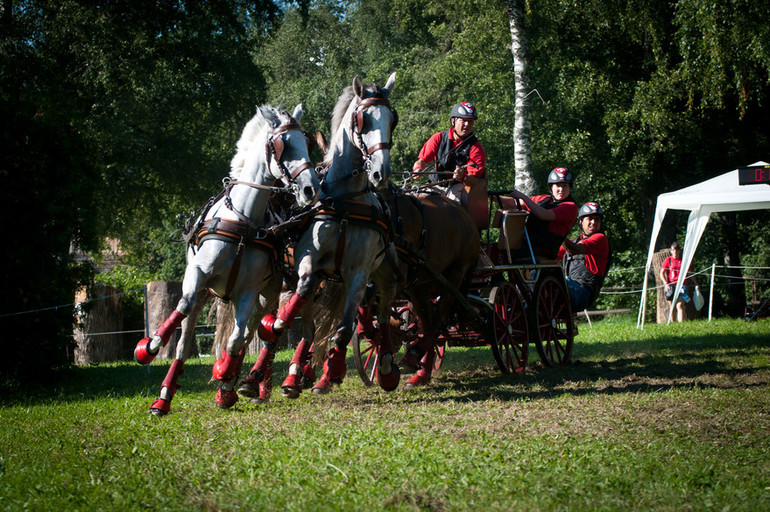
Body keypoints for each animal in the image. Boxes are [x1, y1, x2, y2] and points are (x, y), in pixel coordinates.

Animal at [134, 105, 320, 416]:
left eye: (307, 143)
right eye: (282, 145)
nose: (310, 189)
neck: (243, 220)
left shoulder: (248, 291)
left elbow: (235, 340)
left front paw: (224, 375)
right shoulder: (197, 275)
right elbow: (182, 309)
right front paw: (149, 347)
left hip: (265, 294)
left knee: (249, 334)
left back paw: (232, 385)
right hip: (212, 294)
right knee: (184, 342)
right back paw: (164, 396)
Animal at [254, 74, 400, 398]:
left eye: (391, 120)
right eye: (363, 120)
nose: (381, 173)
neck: (346, 201)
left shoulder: (358, 274)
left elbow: (343, 330)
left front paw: (332, 371)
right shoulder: (309, 265)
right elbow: (302, 298)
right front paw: (276, 326)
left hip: (383, 273)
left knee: (384, 314)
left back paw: (384, 365)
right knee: (303, 322)